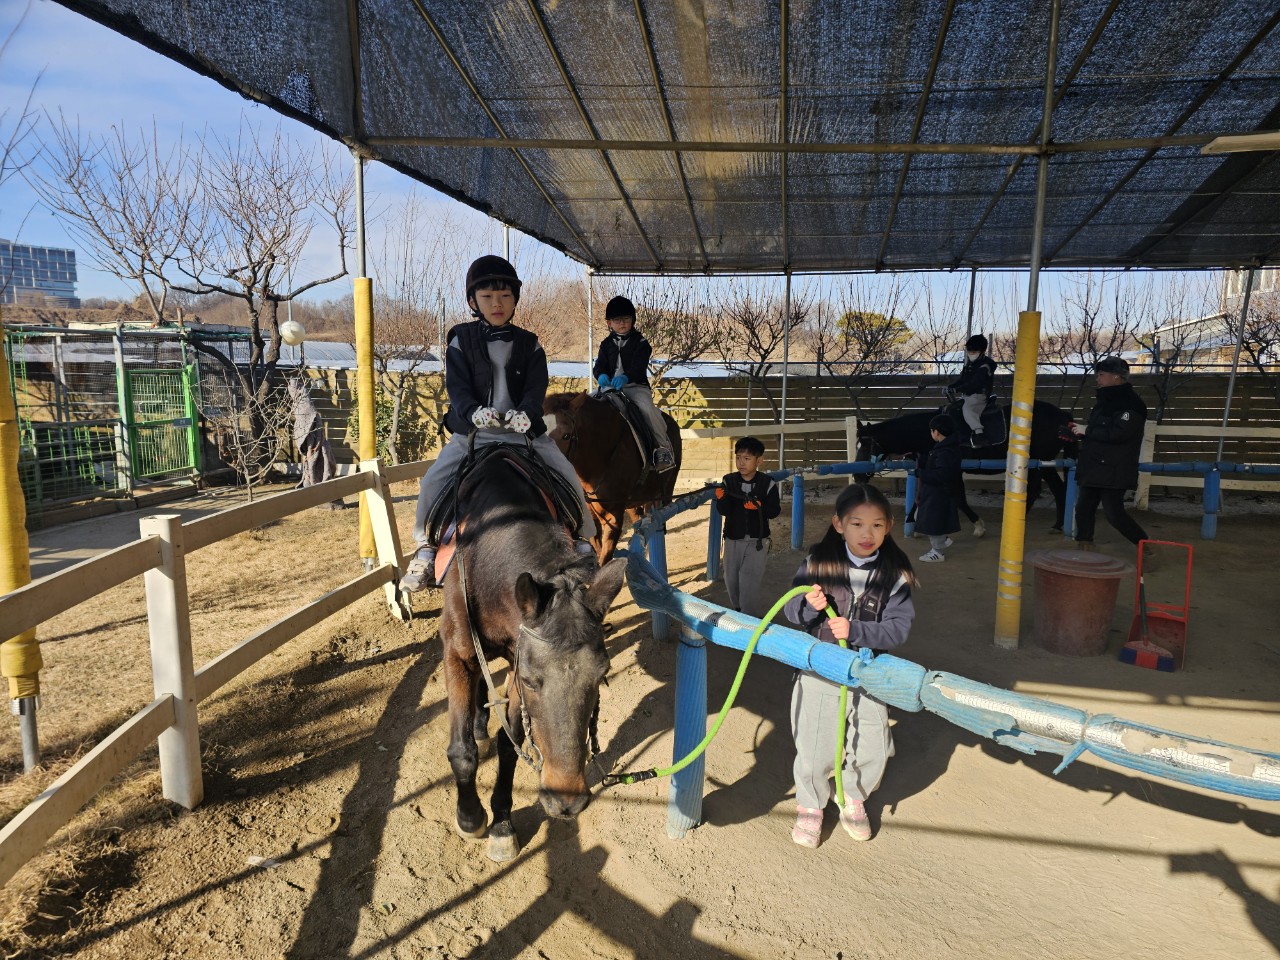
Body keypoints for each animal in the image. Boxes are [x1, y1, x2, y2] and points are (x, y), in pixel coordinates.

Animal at [438, 443, 628, 863]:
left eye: (603, 674)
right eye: (531, 680)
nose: (567, 800)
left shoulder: (515, 654)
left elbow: (511, 744)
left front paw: (502, 823)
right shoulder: (459, 655)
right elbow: (461, 751)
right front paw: (470, 817)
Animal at [854, 400, 1077, 532]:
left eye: (866, 445)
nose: (857, 476)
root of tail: (1063, 416)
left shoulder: (952, 470)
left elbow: (959, 498)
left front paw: (978, 525)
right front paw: (912, 520)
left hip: (1042, 463)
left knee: (1047, 490)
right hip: (1041, 464)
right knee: (1048, 489)